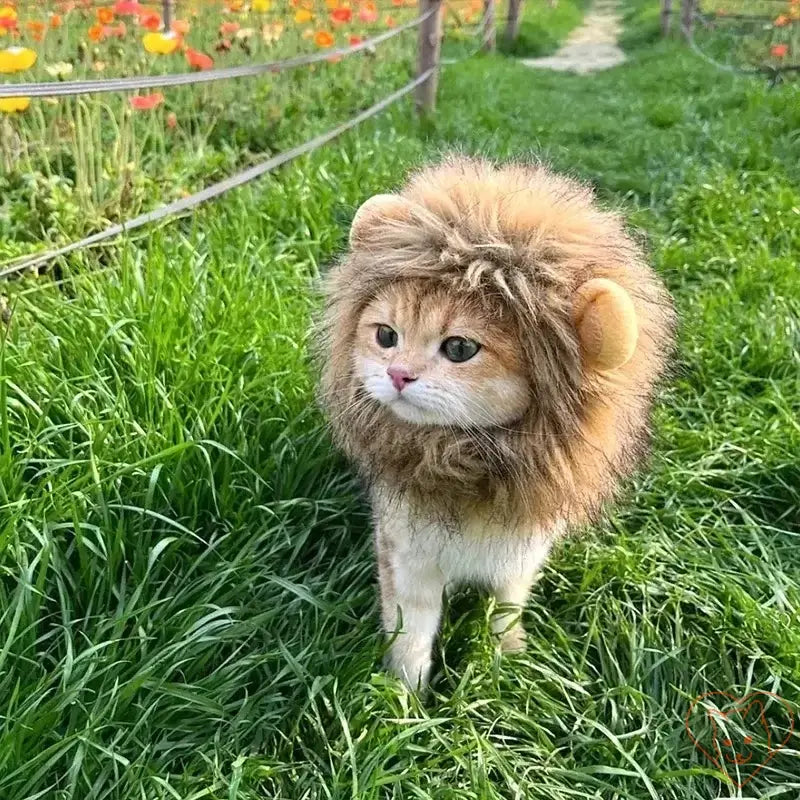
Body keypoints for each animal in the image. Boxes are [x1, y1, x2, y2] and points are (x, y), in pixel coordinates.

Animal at [318, 156, 676, 688]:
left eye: (459, 348)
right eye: (385, 336)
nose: (397, 374)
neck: (471, 464)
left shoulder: (521, 554)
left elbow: (507, 607)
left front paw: (508, 660)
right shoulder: (407, 559)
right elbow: (411, 638)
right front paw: (403, 700)